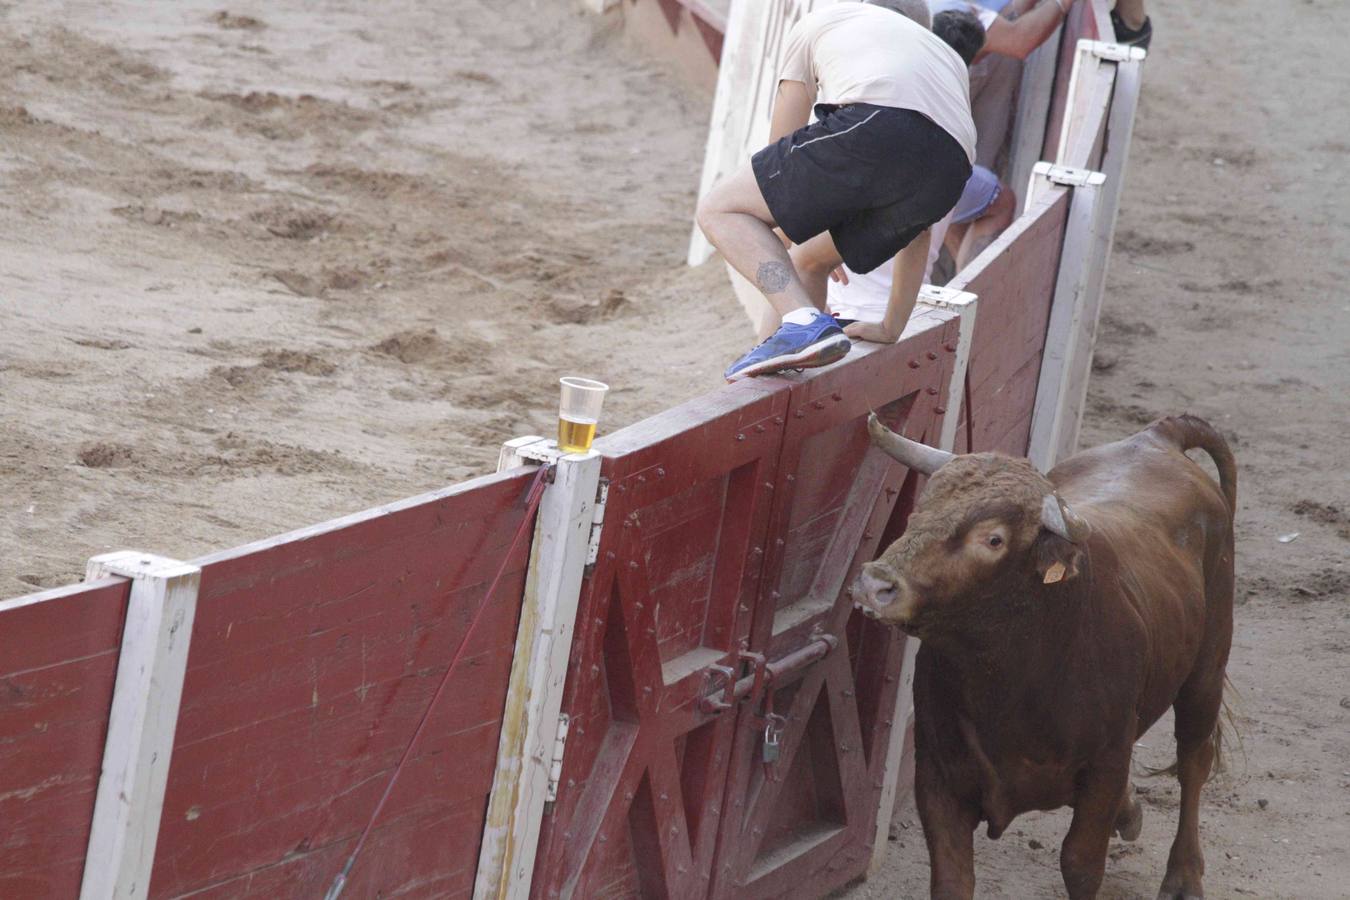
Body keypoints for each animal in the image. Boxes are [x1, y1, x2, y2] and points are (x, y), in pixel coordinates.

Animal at [853, 415, 1236, 900]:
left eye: (994, 538)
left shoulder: (1105, 765)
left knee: (1192, 761)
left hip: (1207, 669)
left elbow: (1080, 863)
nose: (875, 584)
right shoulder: (939, 775)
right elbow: (952, 877)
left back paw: (1184, 876)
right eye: (921, 507)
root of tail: (1158, 435)